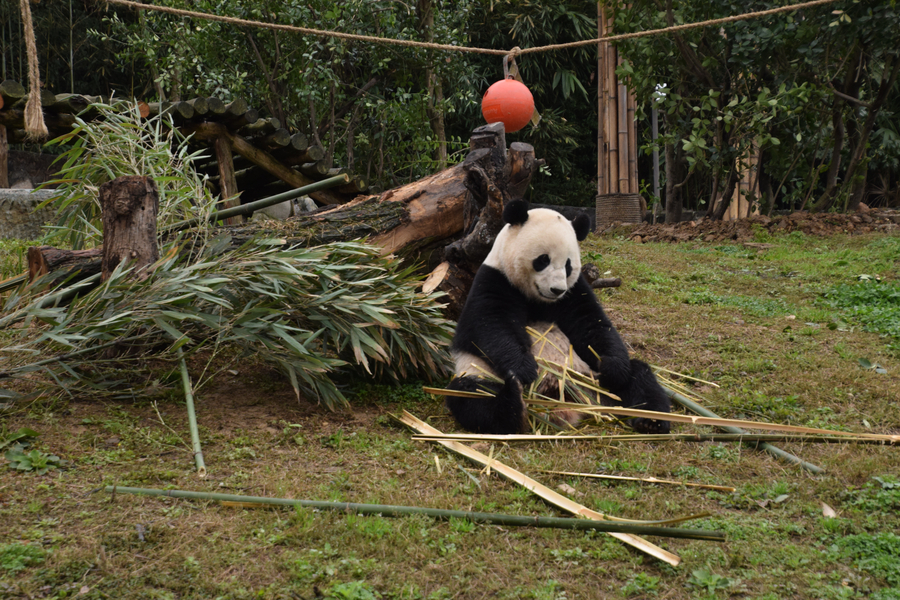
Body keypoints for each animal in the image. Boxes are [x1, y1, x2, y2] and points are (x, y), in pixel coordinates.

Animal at [442, 199, 668, 434]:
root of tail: (561, 399)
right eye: (543, 260)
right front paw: (524, 369)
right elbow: (491, 327)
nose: (557, 289)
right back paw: (512, 401)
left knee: (640, 377)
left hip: (593, 380)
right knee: (473, 394)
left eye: (568, 265)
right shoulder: (494, 280)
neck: (538, 299)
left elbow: (592, 325)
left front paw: (612, 368)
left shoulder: (574, 292)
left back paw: (650, 420)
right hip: (477, 370)